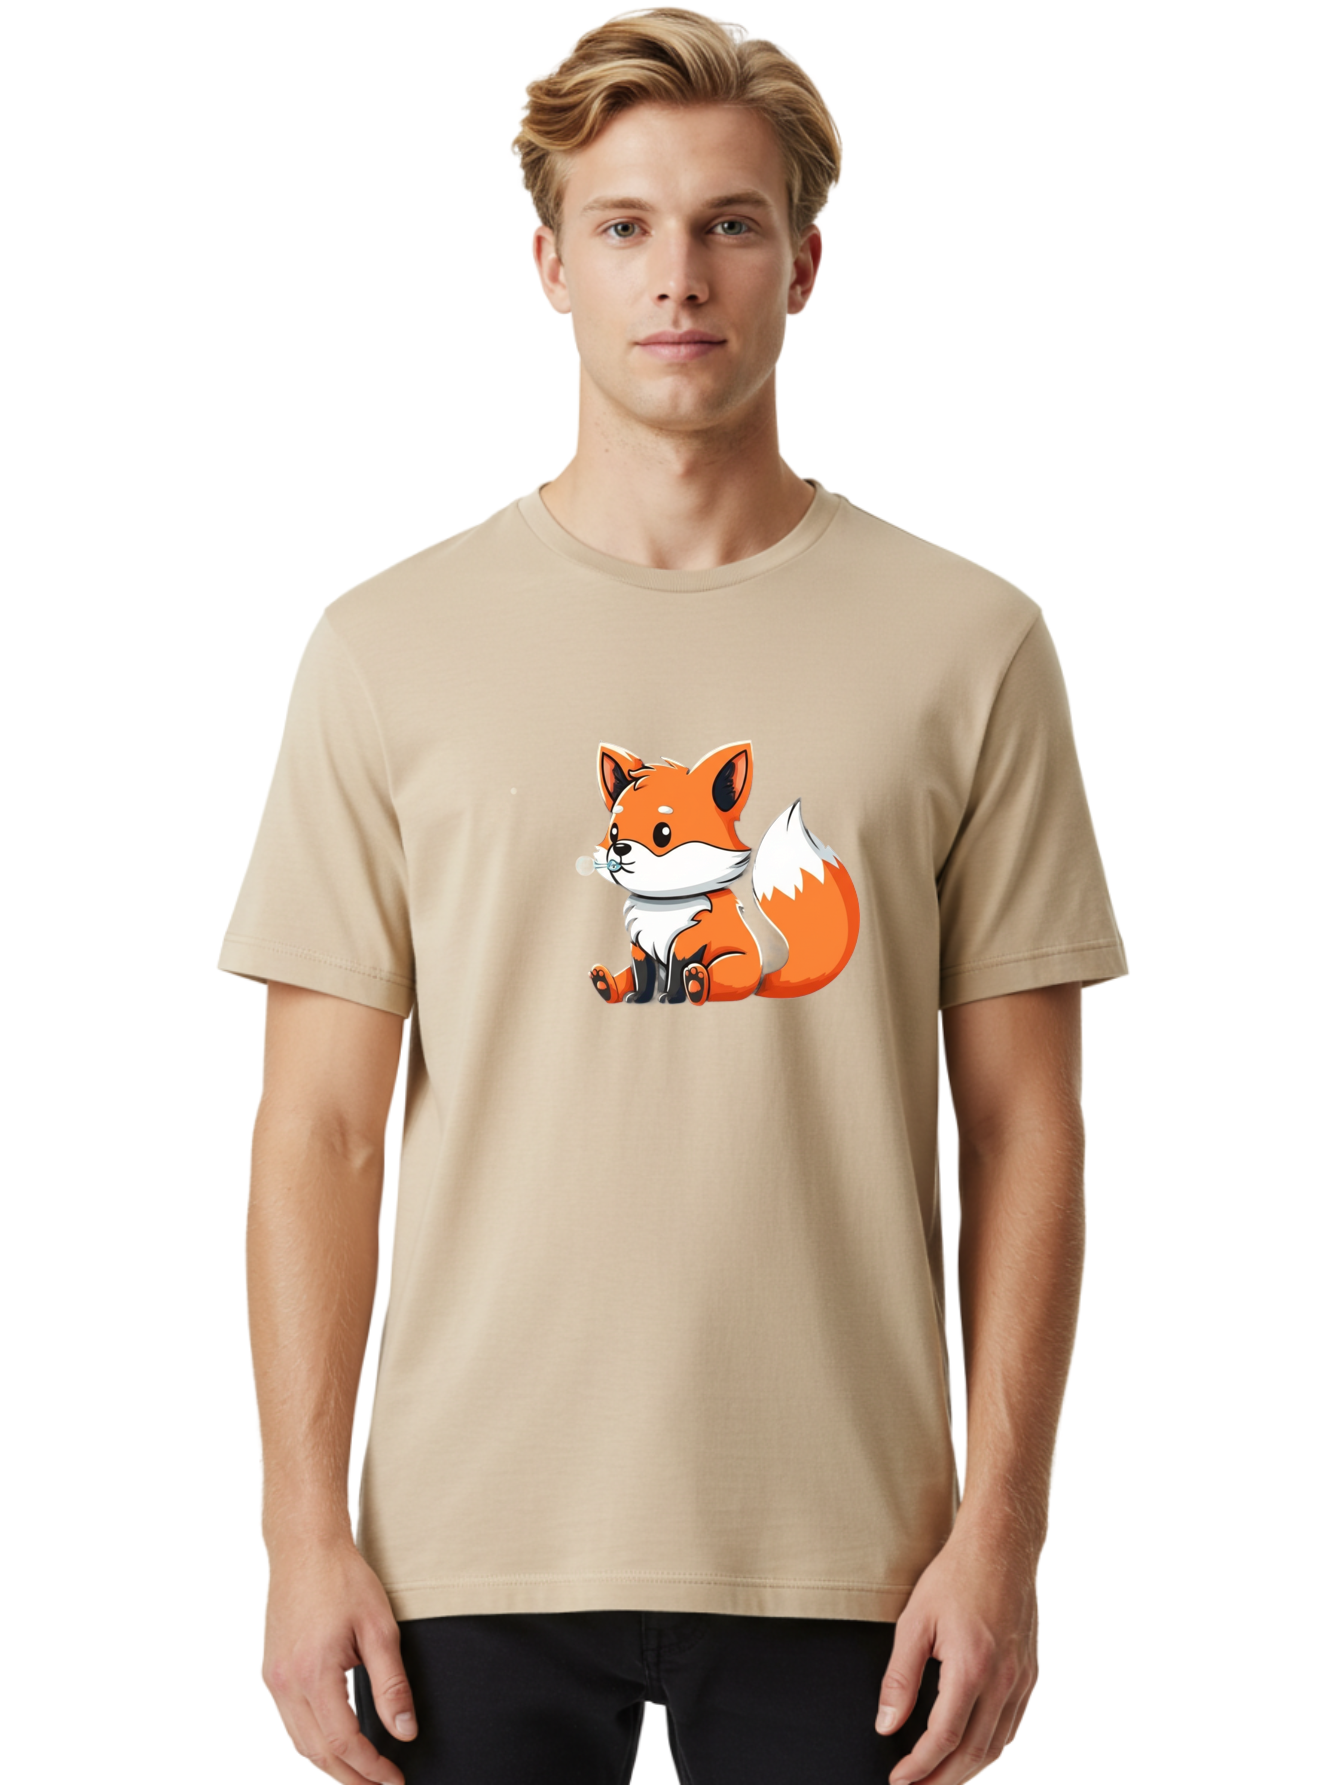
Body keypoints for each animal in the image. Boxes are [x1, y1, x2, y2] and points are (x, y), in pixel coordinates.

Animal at [586, 738, 860, 1005]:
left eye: (663, 834)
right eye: (614, 833)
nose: (620, 848)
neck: (663, 906)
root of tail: (761, 979)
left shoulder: (687, 942)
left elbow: (676, 972)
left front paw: (672, 997)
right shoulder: (639, 945)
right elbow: (643, 976)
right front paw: (640, 998)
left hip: (726, 963)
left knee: (712, 983)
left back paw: (696, 986)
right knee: (625, 975)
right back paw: (604, 984)